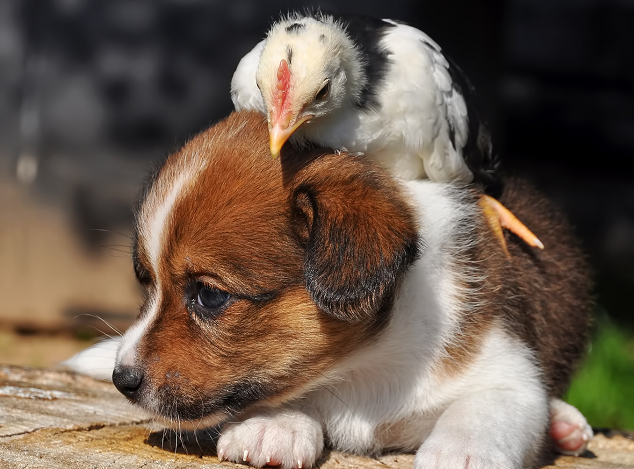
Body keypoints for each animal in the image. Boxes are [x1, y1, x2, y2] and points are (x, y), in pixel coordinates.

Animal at [66, 110, 592, 468]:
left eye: (210, 297)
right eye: (146, 282)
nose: (122, 380)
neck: (367, 364)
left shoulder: (507, 371)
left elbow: (483, 410)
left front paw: (462, 453)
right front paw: (272, 425)